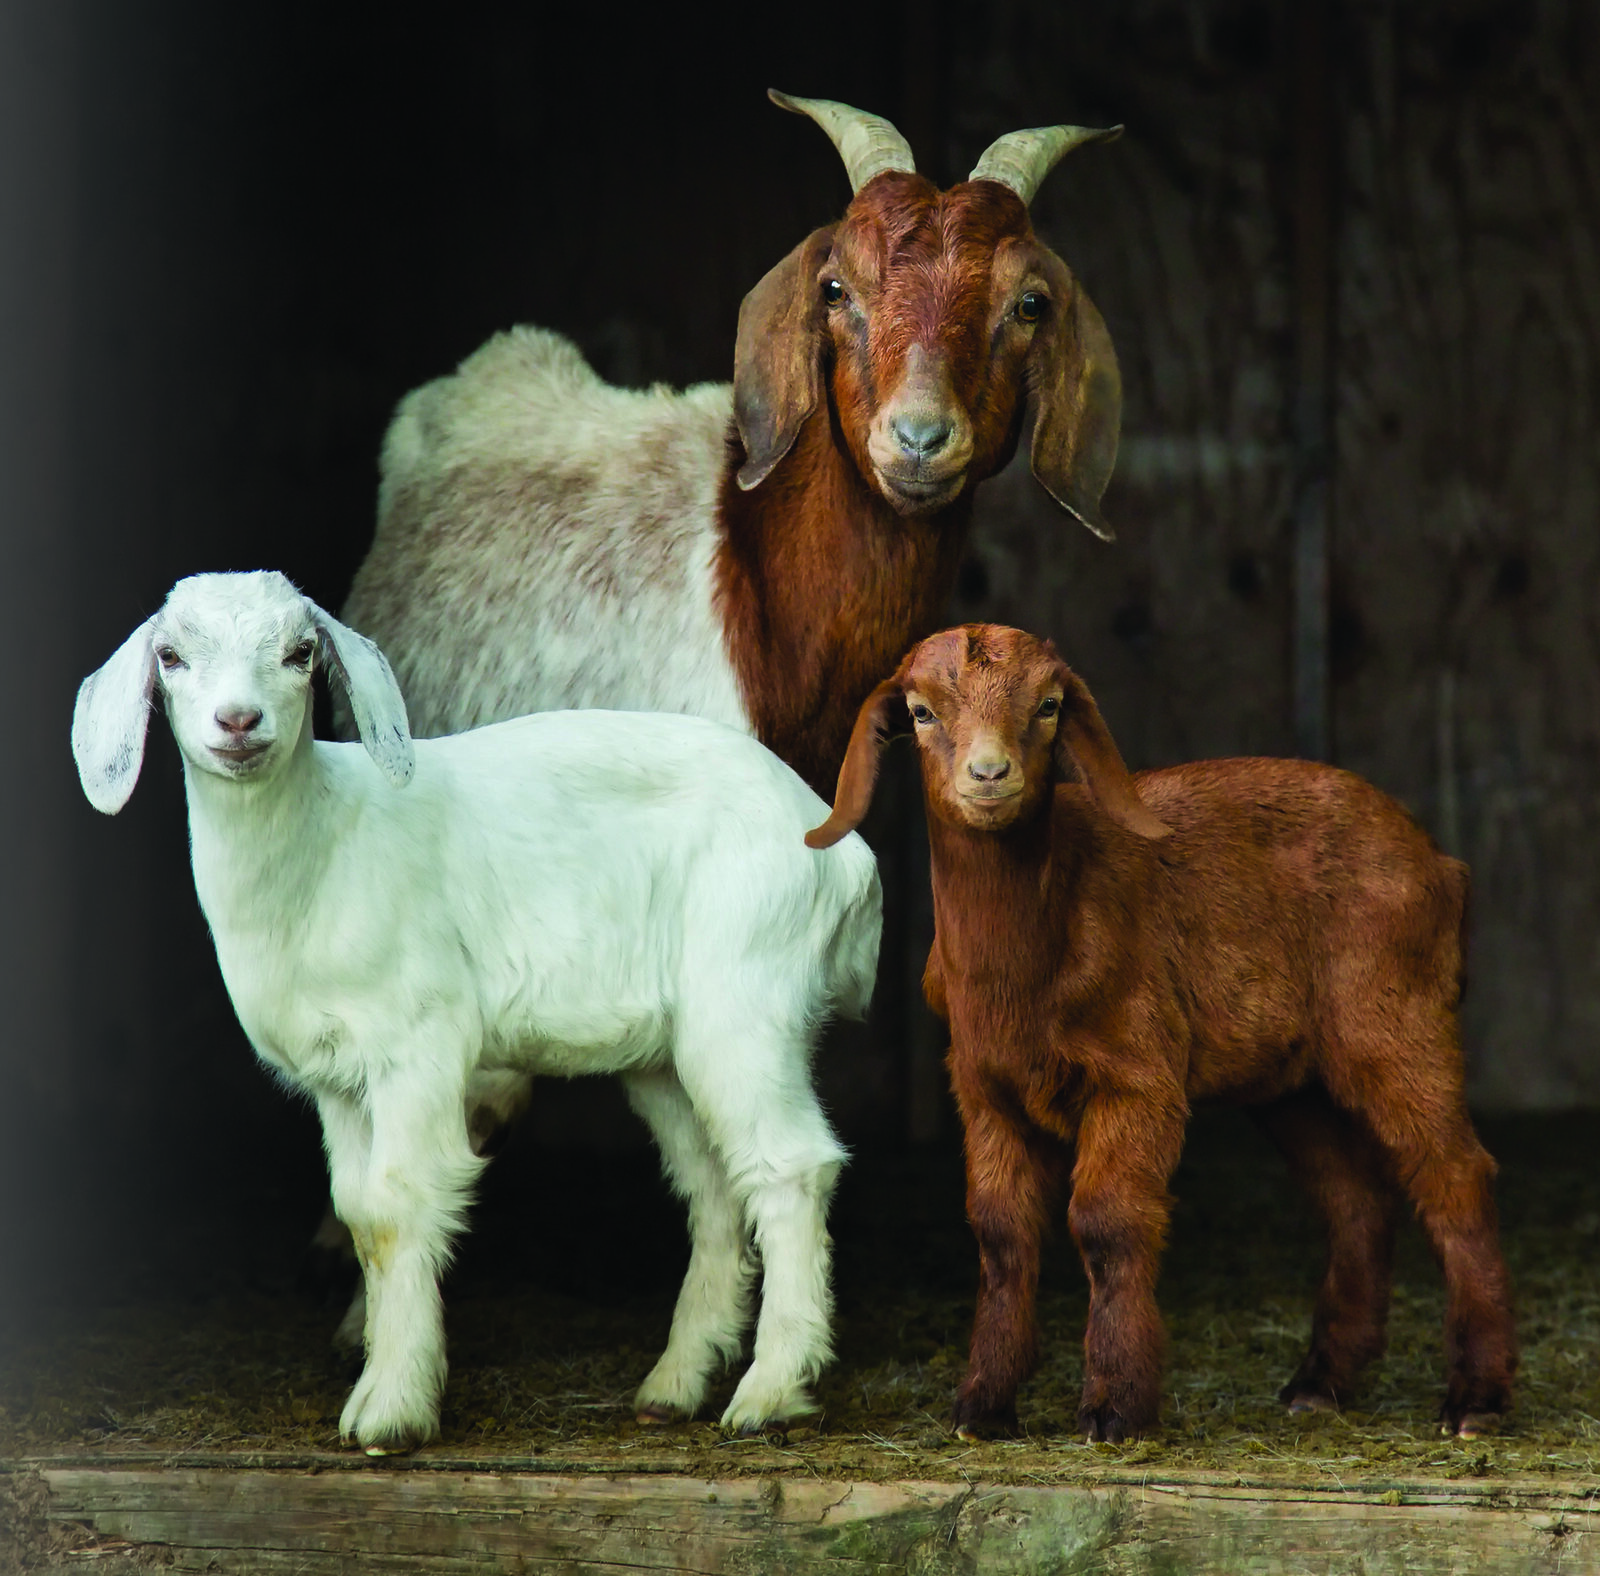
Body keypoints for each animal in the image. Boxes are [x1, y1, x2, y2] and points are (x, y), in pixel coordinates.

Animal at [71, 571, 881, 1452]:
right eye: (171, 657)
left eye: (301, 651)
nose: (239, 722)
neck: (320, 845)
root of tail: (839, 844)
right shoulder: (337, 1080)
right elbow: (360, 1217)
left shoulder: (416, 1042)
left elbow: (397, 1208)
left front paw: (391, 1408)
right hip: (667, 1052)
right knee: (716, 1187)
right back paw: (677, 1383)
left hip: (747, 993)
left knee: (792, 1168)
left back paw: (770, 1391)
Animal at [807, 623, 1517, 1443]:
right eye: (920, 711)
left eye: (1049, 705)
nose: (989, 774)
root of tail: (1442, 863)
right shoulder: (984, 1089)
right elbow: (1001, 1234)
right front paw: (982, 1406)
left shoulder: (1136, 1074)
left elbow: (1107, 1222)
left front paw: (1116, 1406)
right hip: (1293, 1079)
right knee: (1356, 1198)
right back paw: (1320, 1383)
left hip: (1394, 1018)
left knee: (1455, 1176)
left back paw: (1476, 1398)